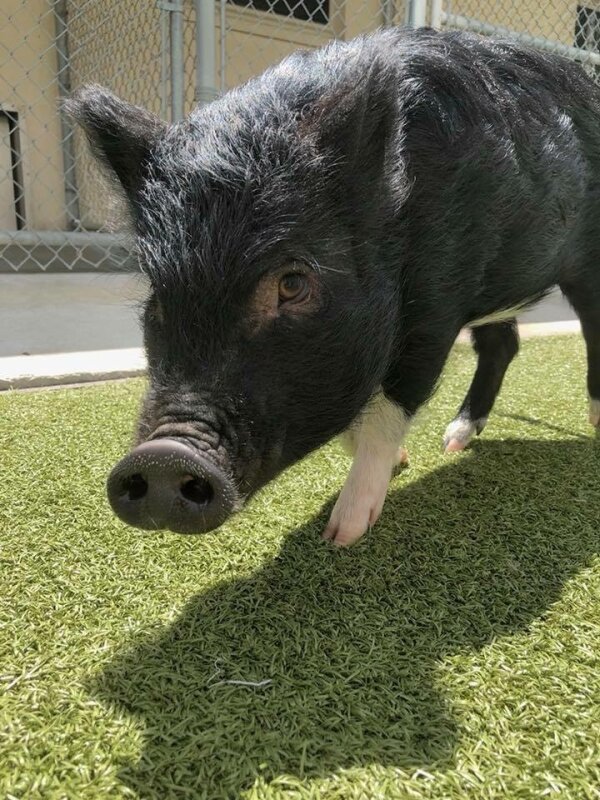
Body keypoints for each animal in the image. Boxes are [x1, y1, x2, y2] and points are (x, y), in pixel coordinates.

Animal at [67, 26, 600, 546]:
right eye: (158, 297)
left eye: (292, 284)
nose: (161, 456)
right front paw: (404, 462)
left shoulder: (436, 305)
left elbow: (390, 406)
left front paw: (341, 535)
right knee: (501, 345)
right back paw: (454, 441)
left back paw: (593, 427)